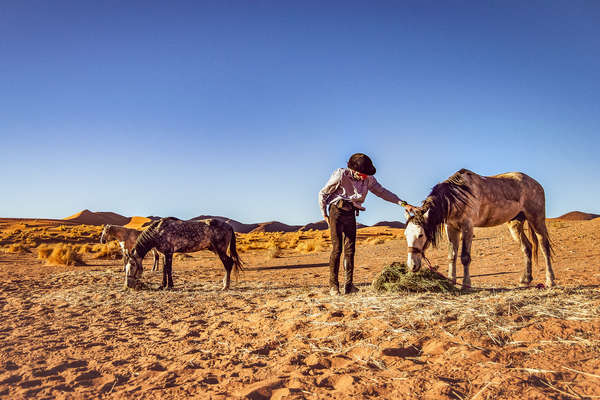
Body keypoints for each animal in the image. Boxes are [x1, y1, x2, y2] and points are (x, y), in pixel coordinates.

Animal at [406, 168, 556, 288]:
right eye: (406, 235)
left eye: (421, 235)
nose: (412, 266)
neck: (457, 196)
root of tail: (536, 184)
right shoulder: (452, 228)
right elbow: (452, 255)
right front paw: (451, 281)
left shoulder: (467, 227)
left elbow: (465, 257)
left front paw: (466, 284)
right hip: (515, 224)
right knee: (527, 248)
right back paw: (525, 279)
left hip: (536, 219)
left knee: (544, 247)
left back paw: (550, 280)